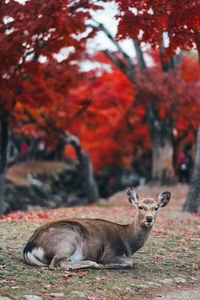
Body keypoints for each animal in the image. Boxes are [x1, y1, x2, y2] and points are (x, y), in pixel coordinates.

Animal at [23, 189, 170, 270]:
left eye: (156, 208)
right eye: (140, 207)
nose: (149, 218)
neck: (129, 244)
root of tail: (29, 248)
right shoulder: (111, 252)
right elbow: (129, 262)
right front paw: (104, 265)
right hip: (69, 239)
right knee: (56, 263)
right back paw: (93, 263)